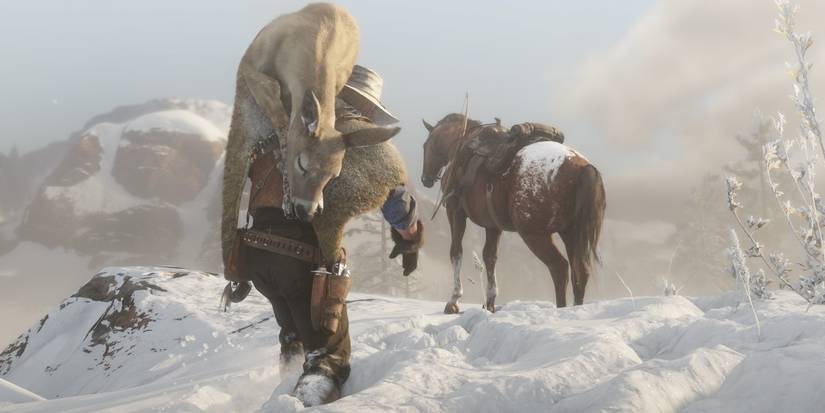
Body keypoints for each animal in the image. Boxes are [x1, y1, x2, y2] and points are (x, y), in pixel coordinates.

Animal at [421, 114, 606, 313]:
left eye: (426, 145)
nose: (425, 179)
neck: (461, 146)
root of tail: (583, 168)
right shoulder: (493, 225)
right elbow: (490, 257)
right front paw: (490, 302)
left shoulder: (455, 213)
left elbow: (456, 252)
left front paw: (453, 301)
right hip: (571, 232)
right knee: (580, 269)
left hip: (534, 235)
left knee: (560, 268)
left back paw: (561, 308)